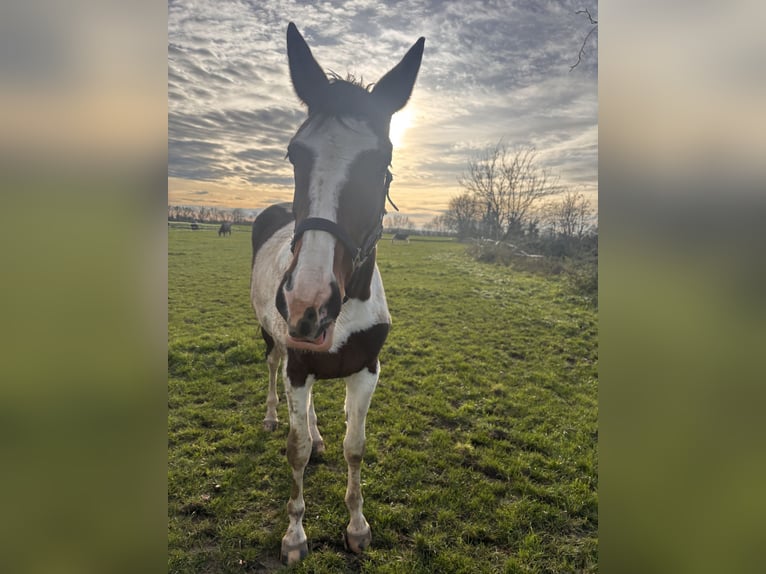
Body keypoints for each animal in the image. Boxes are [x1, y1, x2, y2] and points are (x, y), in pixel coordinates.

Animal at [249, 22, 424, 565]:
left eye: (381, 160)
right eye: (294, 153)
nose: (307, 304)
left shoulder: (366, 369)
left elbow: (354, 447)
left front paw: (357, 527)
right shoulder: (298, 364)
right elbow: (295, 450)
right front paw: (294, 536)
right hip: (273, 341)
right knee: (273, 371)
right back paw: (271, 416)